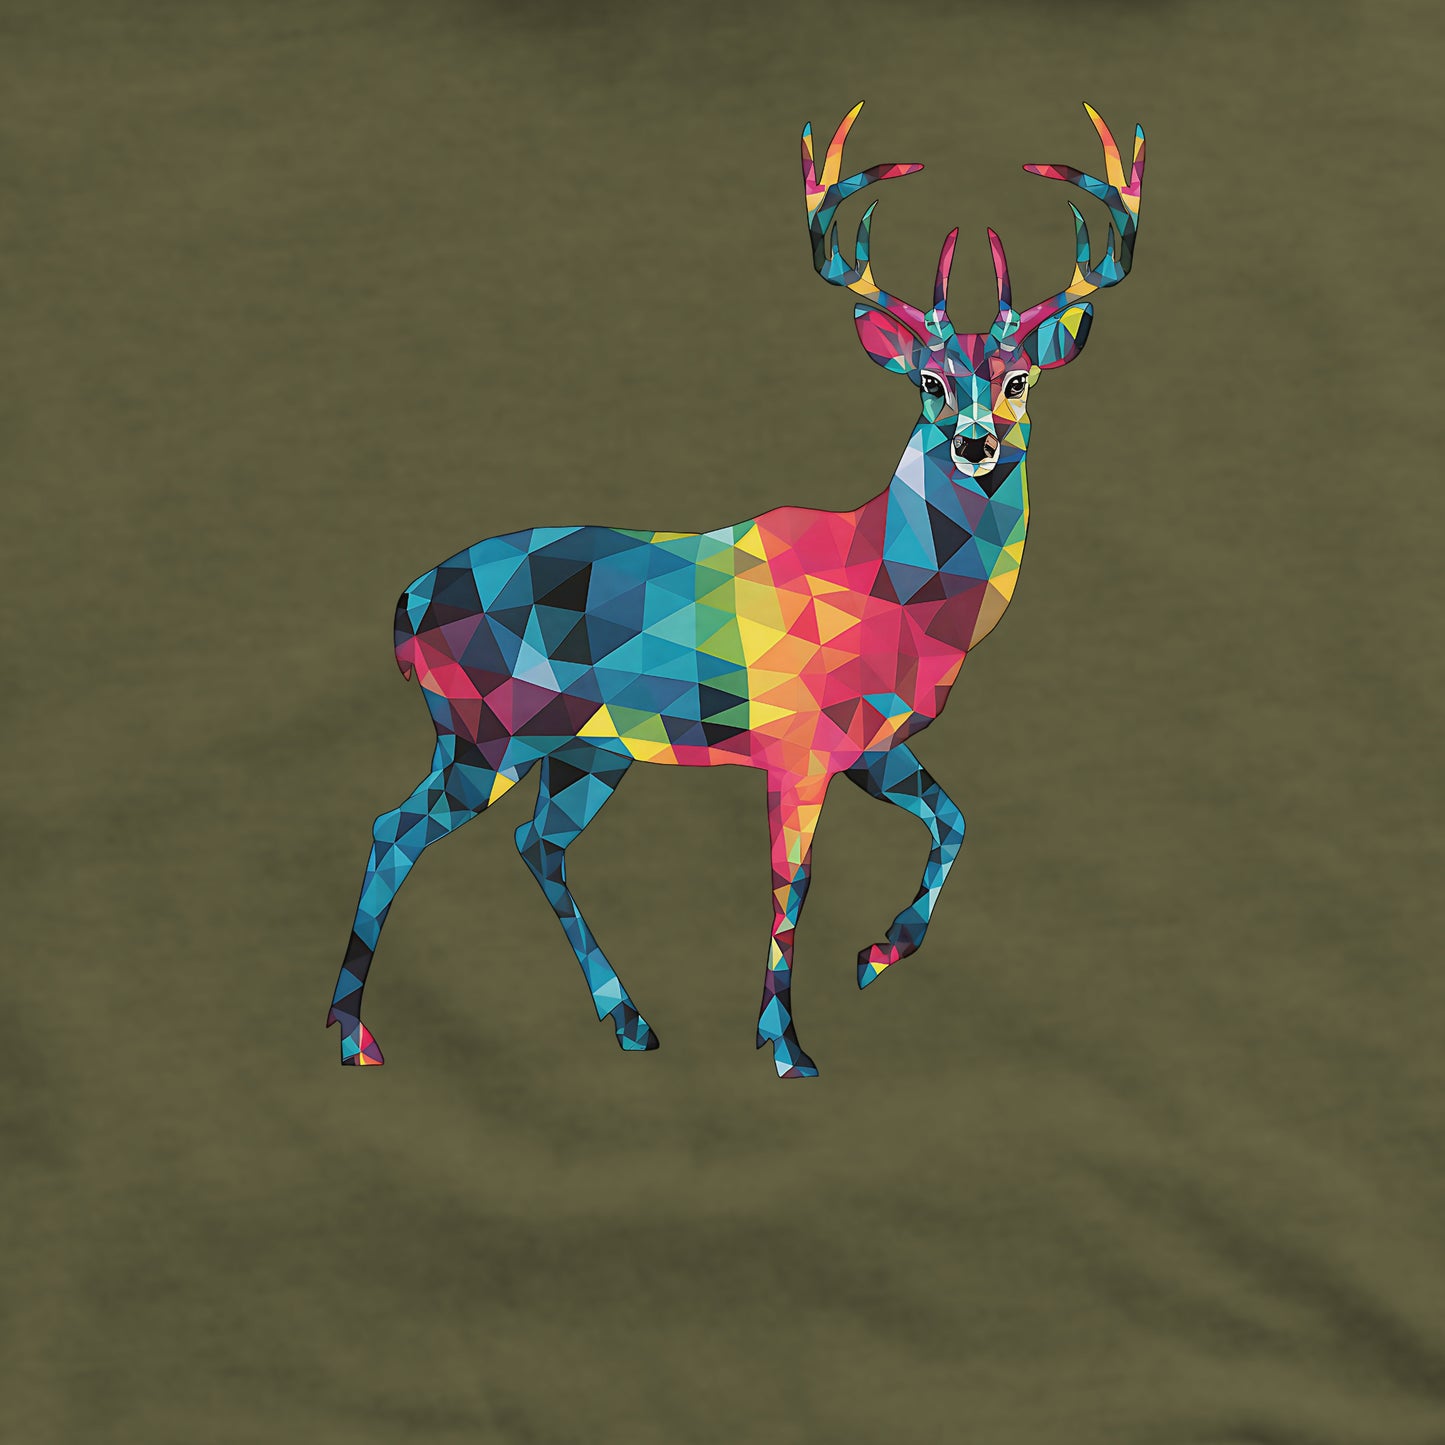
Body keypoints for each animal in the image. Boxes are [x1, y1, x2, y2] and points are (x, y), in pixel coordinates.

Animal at [327, 100, 1145, 1078]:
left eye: (1020, 379)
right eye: (928, 381)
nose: (976, 445)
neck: (891, 587)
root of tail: (405, 604)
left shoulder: (871, 744)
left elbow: (952, 821)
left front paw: (875, 956)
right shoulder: (796, 746)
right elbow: (791, 884)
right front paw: (785, 1044)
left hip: (585, 751)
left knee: (535, 843)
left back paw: (628, 1020)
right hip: (483, 728)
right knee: (393, 829)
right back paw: (355, 1035)